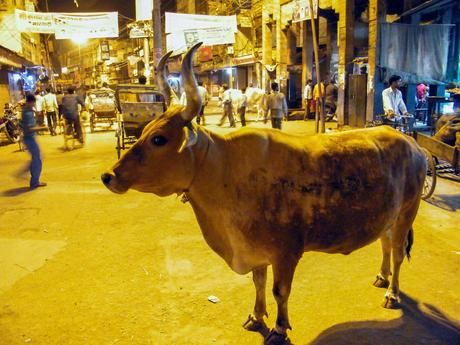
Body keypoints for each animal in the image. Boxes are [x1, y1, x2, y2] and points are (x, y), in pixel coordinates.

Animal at [102, 43, 426, 344]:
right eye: (145, 130)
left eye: (159, 139)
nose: (109, 176)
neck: (224, 171)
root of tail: (412, 144)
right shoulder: (256, 251)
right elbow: (258, 283)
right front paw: (256, 316)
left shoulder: (287, 252)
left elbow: (279, 291)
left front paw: (279, 329)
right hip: (387, 216)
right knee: (385, 245)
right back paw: (382, 277)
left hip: (406, 214)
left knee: (398, 252)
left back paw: (392, 293)